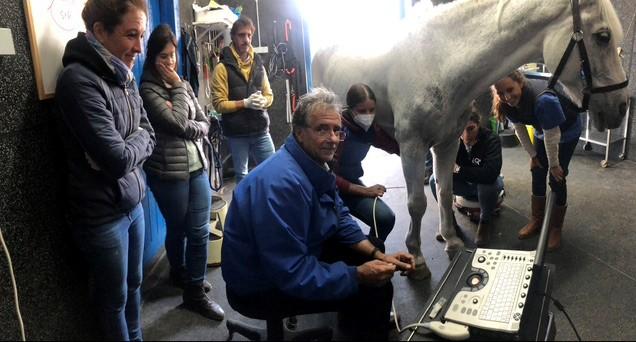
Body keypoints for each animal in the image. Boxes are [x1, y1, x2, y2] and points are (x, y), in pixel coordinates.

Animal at [310, 0, 628, 280]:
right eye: (603, 36)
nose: (621, 107)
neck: (440, 62)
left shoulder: (447, 143)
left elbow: (446, 192)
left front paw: (451, 242)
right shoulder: (413, 147)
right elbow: (416, 204)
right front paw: (418, 259)